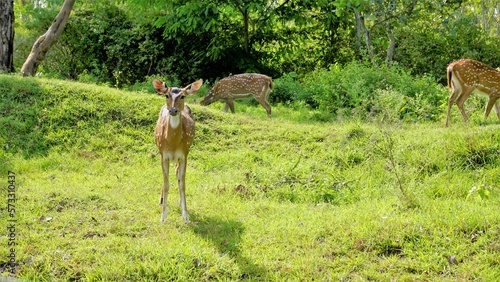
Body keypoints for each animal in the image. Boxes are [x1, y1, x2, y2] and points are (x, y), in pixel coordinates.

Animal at [151, 77, 202, 223]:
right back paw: (161, 200)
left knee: (177, 175)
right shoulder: (164, 155)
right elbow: (166, 184)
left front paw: (186, 216)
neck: (173, 144)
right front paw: (163, 217)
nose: (173, 110)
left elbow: (182, 184)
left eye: (182, 96)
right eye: (167, 95)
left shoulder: (184, 155)